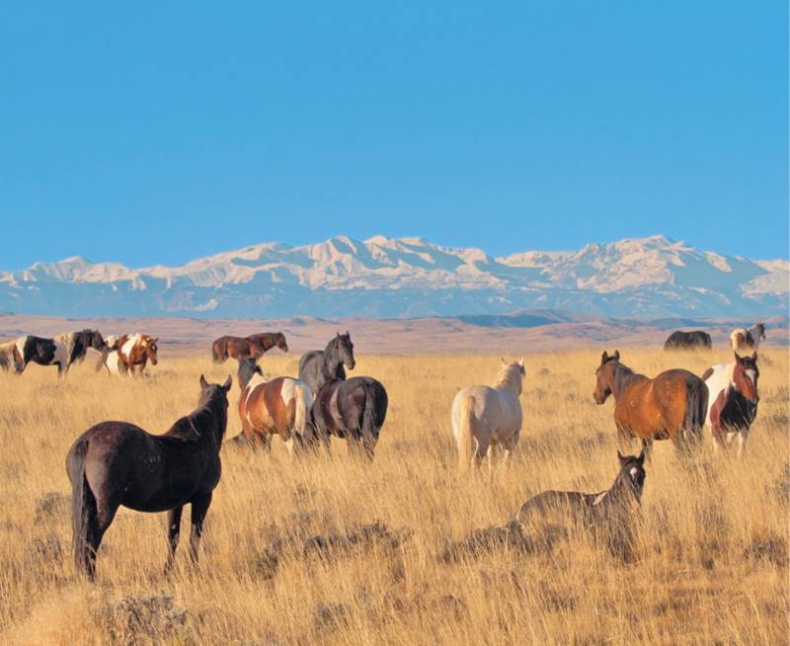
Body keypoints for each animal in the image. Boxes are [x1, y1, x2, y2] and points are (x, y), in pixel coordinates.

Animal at [65, 375, 232, 579]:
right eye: (227, 403)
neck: (200, 438)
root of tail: (87, 440)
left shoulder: (176, 504)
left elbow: (173, 536)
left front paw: (167, 571)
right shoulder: (203, 498)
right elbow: (194, 537)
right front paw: (194, 570)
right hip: (106, 506)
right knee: (92, 538)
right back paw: (91, 576)